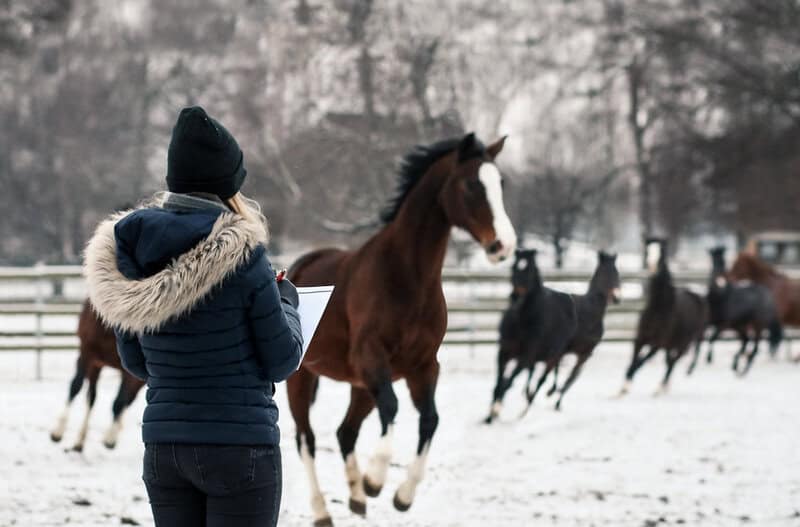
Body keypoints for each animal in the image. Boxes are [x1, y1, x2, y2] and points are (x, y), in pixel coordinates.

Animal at [49, 300, 145, 452]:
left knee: (129, 399)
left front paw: (110, 439)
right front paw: (59, 432)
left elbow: (119, 401)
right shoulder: (88, 355)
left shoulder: (128, 371)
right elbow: (77, 388)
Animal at [287, 133, 516, 526]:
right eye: (471, 185)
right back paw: (323, 510)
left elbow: (430, 419)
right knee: (308, 439)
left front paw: (401, 496)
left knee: (345, 432)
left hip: (361, 387)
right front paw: (376, 479)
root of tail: (296, 268)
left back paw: (356, 498)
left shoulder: (423, 366)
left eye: (500, 184)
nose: (503, 246)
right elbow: (393, 408)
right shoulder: (372, 357)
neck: (408, 278)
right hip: (302, 379)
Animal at [485, 248, 578, 423]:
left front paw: (496, 410)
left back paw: (525, 409)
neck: (522, 320)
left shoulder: (525, 357)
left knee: (542, 380)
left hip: (552, 357)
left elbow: (507, 383)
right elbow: (498, 384)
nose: (514, 297)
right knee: (532, 377)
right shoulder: (503, 353)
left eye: (529, 270)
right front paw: (488, 417)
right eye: (513, 267)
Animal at [619, 238, 707, 396]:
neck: (658, 308)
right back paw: (665, 386)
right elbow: (634, 360)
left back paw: (661, 387)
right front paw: (623, 386)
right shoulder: (640, 339)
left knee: (673, 362)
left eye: (662, 253)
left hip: (683, 344)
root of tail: (696, 297)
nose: (652, 268)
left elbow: (640, 362)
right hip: (671, 345)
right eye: (647, 251)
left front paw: (626, 386)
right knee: (669, 361)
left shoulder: (657, 344)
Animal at [693, 247, 782, 376]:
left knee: (754, 347)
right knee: (746, 341)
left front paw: (709, 359)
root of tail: (769, 296)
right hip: (740, 326)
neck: (718, 297)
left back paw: (743, 368)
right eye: (713, 259)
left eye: (723, 260)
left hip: (756, 325)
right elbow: (702, 340)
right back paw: (735, 364)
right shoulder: (707, 323)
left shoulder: (724, 324)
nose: (719, 278)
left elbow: (712, 338)